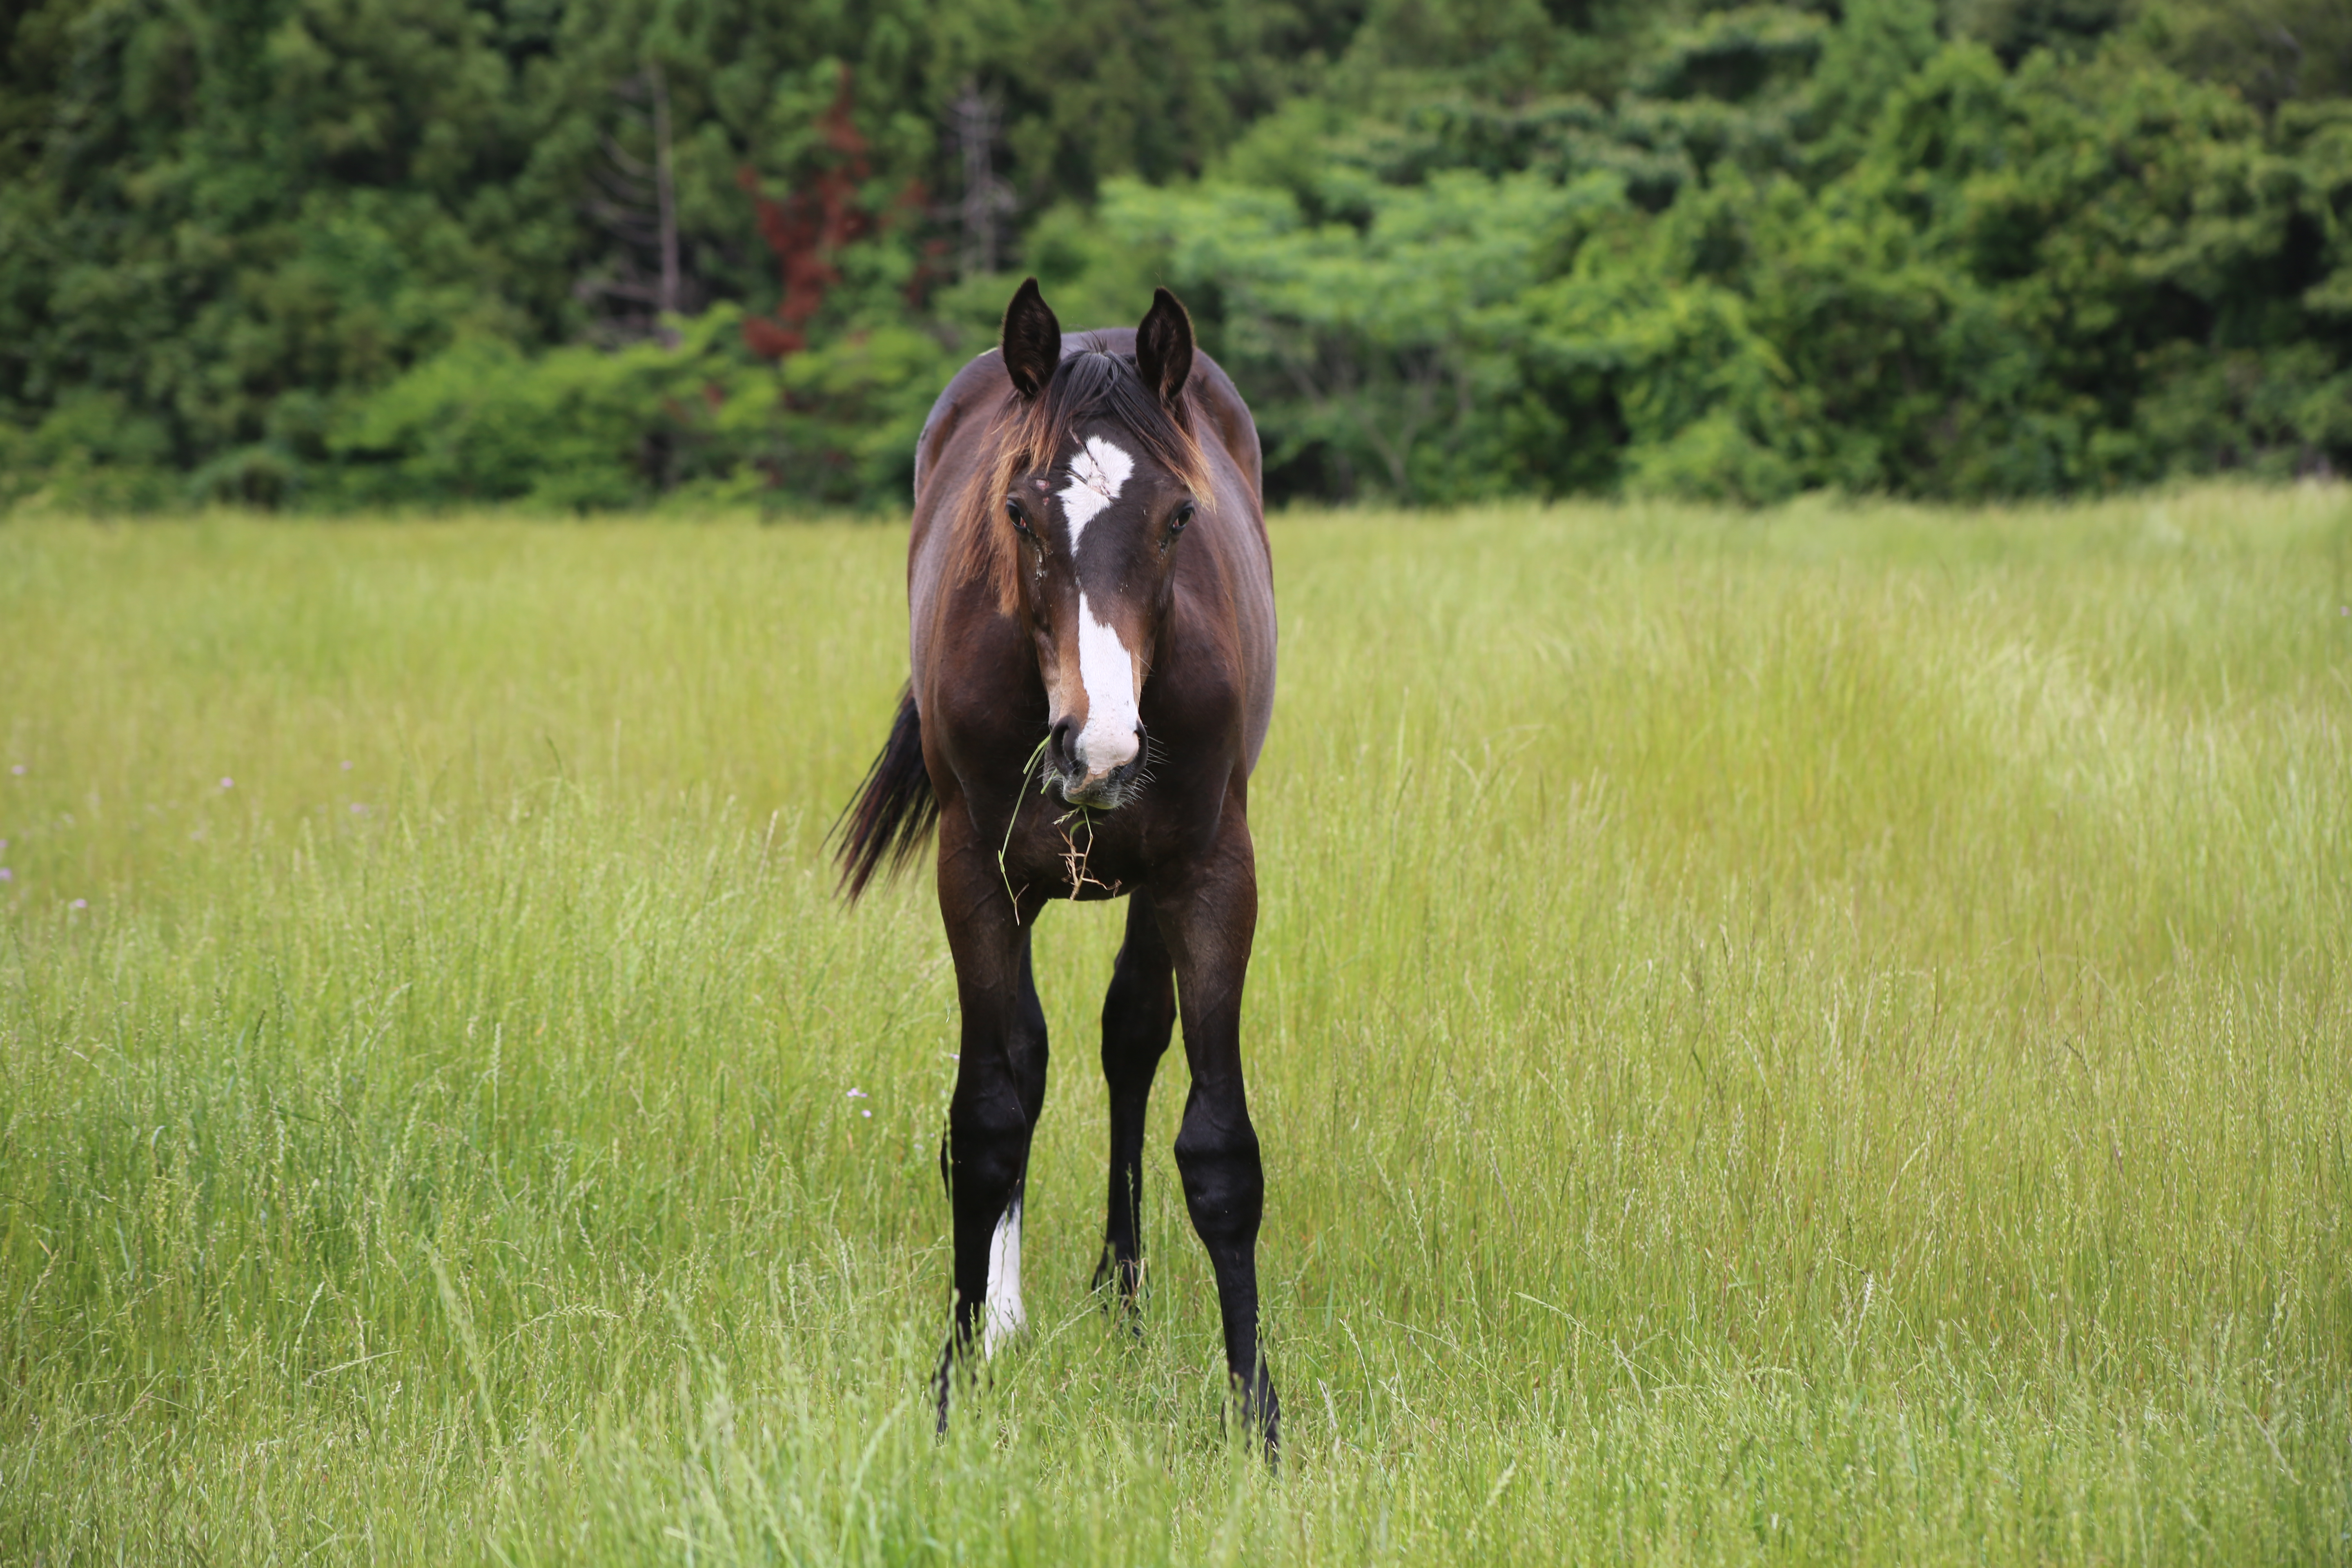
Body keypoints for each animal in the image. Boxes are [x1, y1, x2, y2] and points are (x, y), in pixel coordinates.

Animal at [842, 276, 1289, 1457]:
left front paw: (1257, 1414)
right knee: (1022, 1064)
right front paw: (954, 1381)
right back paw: (1005, 1316)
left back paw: (1119, 1293)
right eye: (1018, 514)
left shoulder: (1210, 876)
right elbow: (988, 1116)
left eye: (1178, 517)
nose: (1101, 748)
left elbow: (1217, 1147)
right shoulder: (974, 876)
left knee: (1127, 1040)